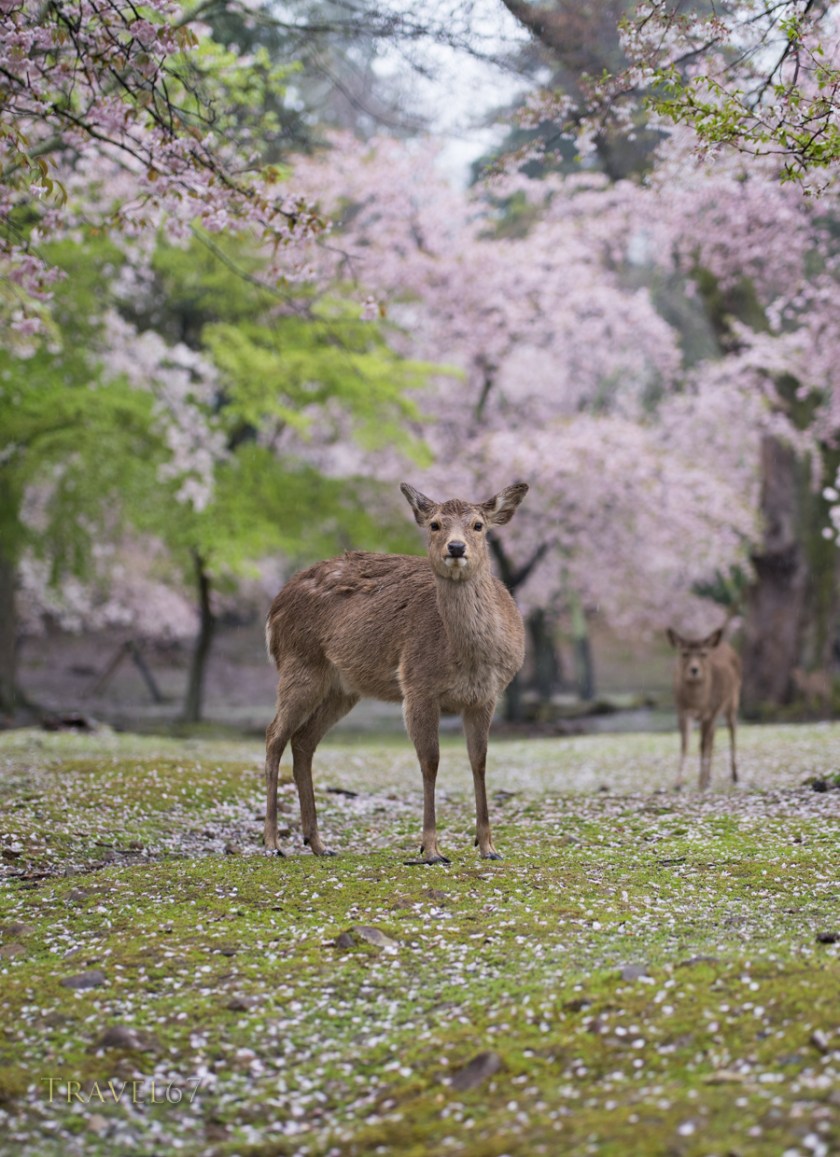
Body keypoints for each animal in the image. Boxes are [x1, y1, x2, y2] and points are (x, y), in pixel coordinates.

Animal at [263, 481, 529, 864]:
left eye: (479, 525)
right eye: (434, 524)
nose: (456, 547)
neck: (468, 657)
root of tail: (273, 609)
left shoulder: (486, 696)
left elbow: (478, 760)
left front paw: (488, 847)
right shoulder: (417, 686)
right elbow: (430, 761)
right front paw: (430, 849)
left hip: (342, 689)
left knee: (303, 740)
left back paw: (318, 843)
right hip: (298, 664)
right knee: (274, 736)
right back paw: (272, 842)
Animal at [666, 627, 742, 790]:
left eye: (703, 654)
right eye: (684, 653)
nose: (694, 670)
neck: (697, 702)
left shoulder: (709, 712)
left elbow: (702, 744)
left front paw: (700, 782)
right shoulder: (682, 712)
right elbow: (685, 744)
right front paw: (678, 782)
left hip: (732, 701)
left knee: (732, 730)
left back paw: (735, 775)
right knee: (713, 737)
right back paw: (709, 777)